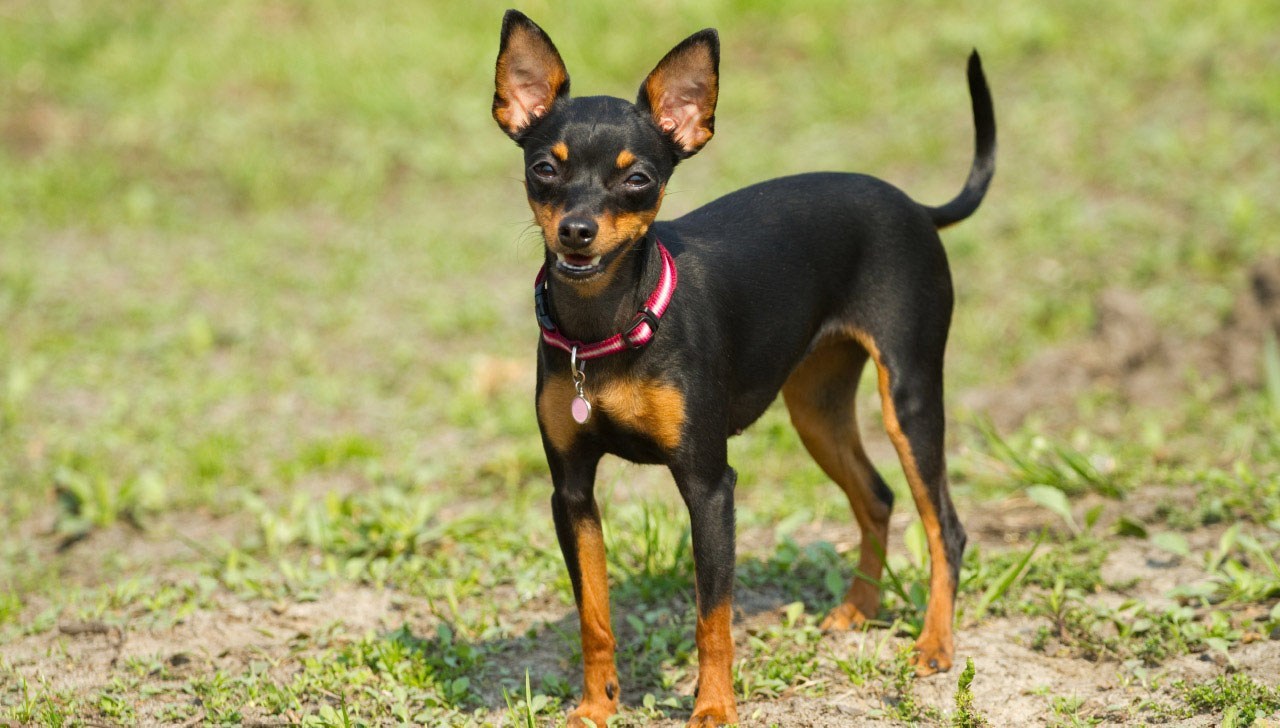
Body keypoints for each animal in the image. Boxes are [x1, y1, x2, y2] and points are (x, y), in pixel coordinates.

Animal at [494, 9, 993, 721]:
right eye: (544, 169)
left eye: (638, 180)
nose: (577, 231)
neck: (609, 327)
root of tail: (914, 207)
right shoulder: (573, 492)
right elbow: (594, 614)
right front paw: (596, 706)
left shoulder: (709, 486)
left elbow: (713, 617)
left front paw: (713, 708)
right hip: (815, 408)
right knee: (876, 495)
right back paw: (857, 609)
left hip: (911, 396)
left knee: (944, 526)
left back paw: (935, 644)